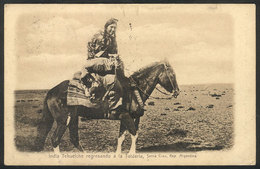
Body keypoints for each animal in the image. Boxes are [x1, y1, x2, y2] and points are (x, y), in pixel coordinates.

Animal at [34, 59, 179, 153]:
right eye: (172, 74)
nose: (177, 91)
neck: (134, 90)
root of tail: (51, 91)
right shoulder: (126, 116)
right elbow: (134, 135)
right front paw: (131, 154)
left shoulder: (128, 118)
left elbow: (122, 138)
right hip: (63, 120)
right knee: (55, 139)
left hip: (73, 118)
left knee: (74, 139)